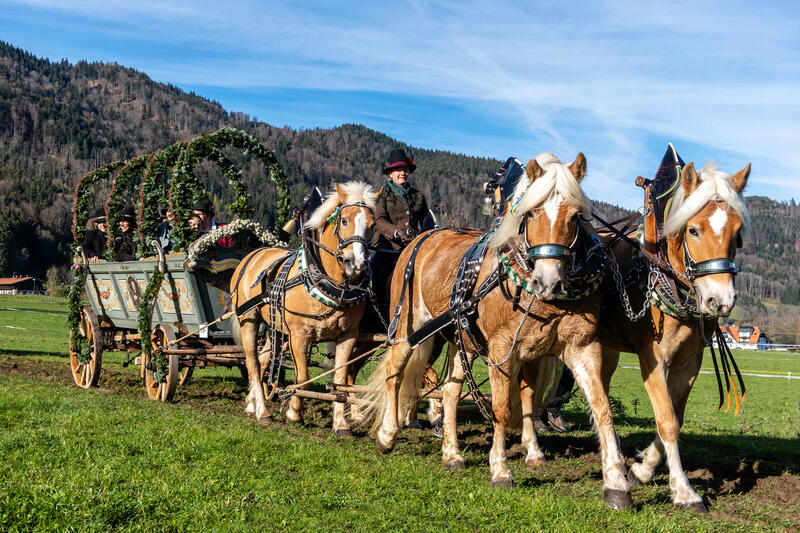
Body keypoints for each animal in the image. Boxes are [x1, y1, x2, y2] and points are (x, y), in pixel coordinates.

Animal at [231, 183, 378, 436]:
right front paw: (294, 412)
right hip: (248, 320)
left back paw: (252, 404)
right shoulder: (299, 335)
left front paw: (341, 424)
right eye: (344, 221)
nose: (356, 264)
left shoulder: (349, 335)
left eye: (372, 225)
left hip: (275, 328)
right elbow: (302, 376)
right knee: (252, 362)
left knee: (263, 360)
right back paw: (263, 411)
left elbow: (340, 378)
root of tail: (252, 255)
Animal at [364, 153, 636, 508]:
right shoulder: (501, 350)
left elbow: (598, 408)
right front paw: (501, 471)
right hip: (409, 328)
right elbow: (502, 408)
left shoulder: (580, 348)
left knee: (450, 391)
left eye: (576, 216)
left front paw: (615, 482)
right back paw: (387, 434)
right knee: (395, 373)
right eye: (530, 212)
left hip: (459, 340)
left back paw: (452, 453)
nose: (548, 282)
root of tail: (420, 239)